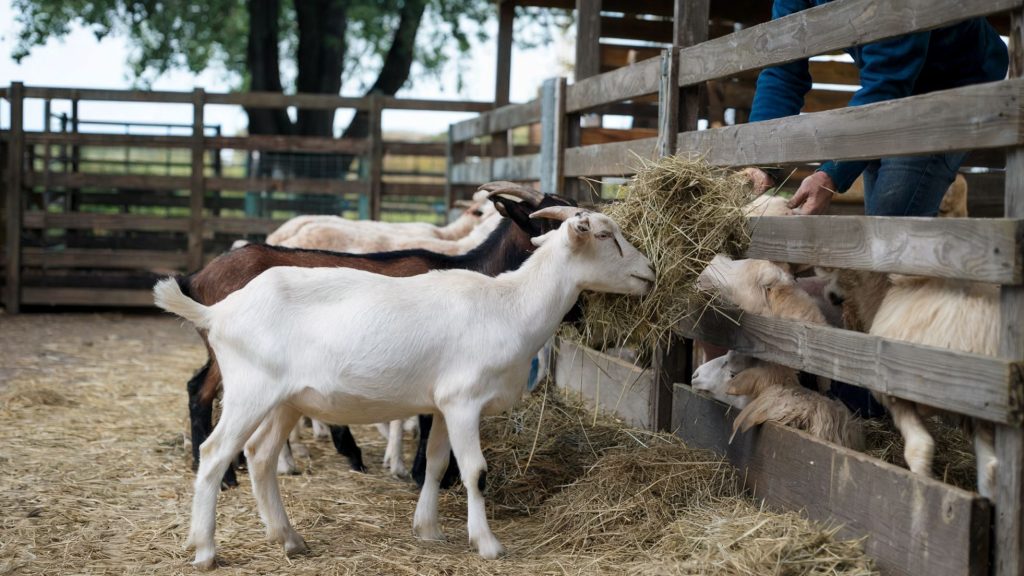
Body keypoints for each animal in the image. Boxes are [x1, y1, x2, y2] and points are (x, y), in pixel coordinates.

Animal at [153, 206, 647, 565]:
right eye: (606, 235)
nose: (650, 271)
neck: (509, 304)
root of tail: (217, 312)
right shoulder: (464, 400)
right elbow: (474, 470)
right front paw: (488, 544)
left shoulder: (444, 405)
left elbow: (437, 463)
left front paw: (429, 529)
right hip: (249, 391)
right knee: (215, 453)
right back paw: (205, 549)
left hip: (286, 401)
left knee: (260, 456)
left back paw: (289, 538)